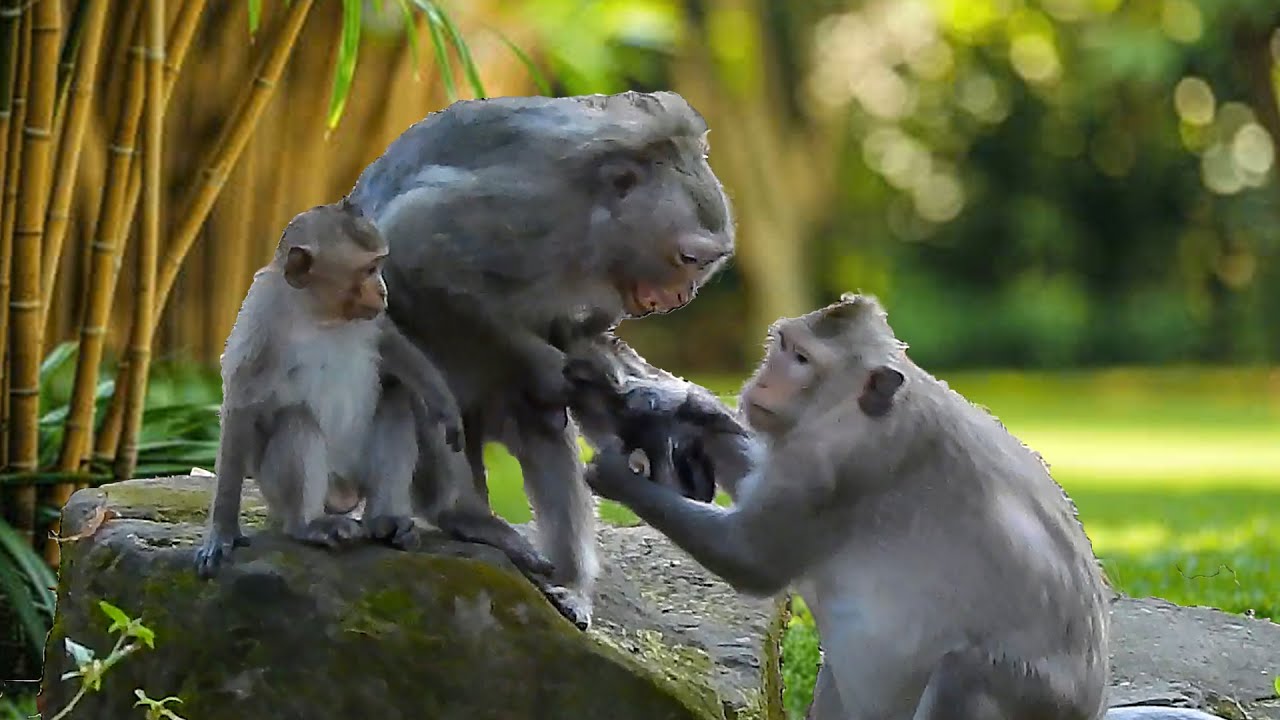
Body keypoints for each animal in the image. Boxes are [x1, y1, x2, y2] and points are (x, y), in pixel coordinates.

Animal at [194, 200, 554, 588]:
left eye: (379, 266)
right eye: (368, 269)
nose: (383, 291)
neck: (321, 314)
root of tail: (344, 494)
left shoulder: (371, 319)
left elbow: (391, 344)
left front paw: (443, 403)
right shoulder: (261, 317)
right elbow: (242, 405)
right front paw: (222, 531)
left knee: (400, 399)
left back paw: (405, 520)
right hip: (284, 486)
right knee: (297, 421)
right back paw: (309, 525)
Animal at [344, 90, 737, 629]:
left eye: (707, 263)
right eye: (690, 258)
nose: (685, 294)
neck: (593, 221)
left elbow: (578, 336)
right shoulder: (531, 212)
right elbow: (414, 243)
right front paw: (548, 364)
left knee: (544, 430)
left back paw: (570, 583)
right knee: (421, 371)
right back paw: (461, 514)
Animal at [584, 293, 1226, 720]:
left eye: (802, 361)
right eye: (782, 346)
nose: (763, 383)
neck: (850, 409)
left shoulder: (838, 466)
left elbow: (753, 561)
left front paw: (616, 475)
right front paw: (682, 405)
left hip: (1033, 703)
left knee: (964, 676)